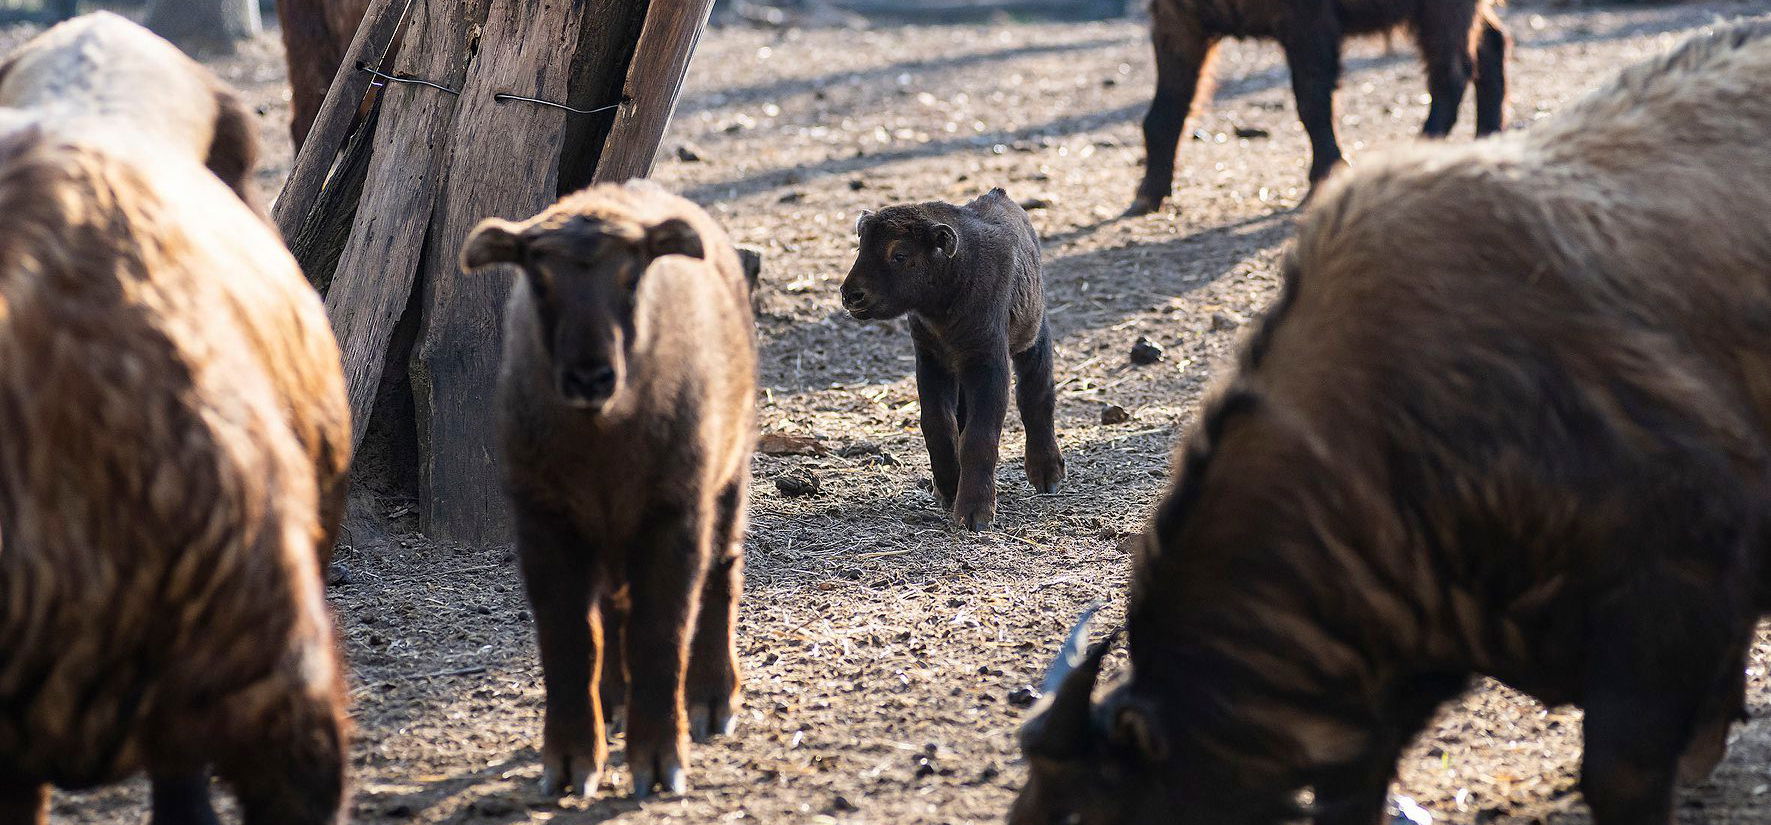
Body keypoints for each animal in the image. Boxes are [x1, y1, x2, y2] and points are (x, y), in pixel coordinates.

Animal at [460, 178, 757, 800]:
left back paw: (711, 697)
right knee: (610, 607)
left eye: (632, 276)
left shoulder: (673, 512)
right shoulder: (543, 517)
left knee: (722, 572)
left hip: (730, 466)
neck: (602, 441)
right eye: (539, 279)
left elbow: (660, 632)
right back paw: (613, 699)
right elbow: (569, 636)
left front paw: (659, 761)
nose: (590, 377)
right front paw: (572, 762)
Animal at [842, 188, 1062, 527]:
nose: (850, 295)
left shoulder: (988, 361)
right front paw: (948, 488)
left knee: (1036, 394)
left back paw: (1047, 473)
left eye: (900, 254)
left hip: (1033, 336)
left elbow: (979, 435)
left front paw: (974, 513)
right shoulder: (932, 360)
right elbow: (937, 423)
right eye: (860, 248)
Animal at [1133, 0, 1508, 214]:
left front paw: (1323, 177)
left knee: (1452, 72)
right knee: (1491, 45)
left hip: (1443, 11)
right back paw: (1488, 140)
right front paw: (1147, 195)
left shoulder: (1308, 22)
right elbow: (1165, 111)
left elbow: (1312, 100)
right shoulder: (1176, 21)